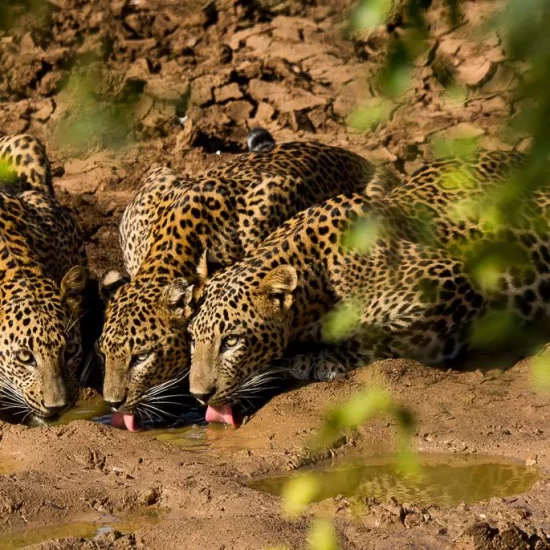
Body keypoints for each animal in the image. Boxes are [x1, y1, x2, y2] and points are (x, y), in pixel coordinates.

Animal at [187, 149, 550, 424]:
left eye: (231, 341)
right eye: (193, 339)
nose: (199, 395)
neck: (316, 281)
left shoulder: (451, 279)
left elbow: (379, 333)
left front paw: (318, 359)